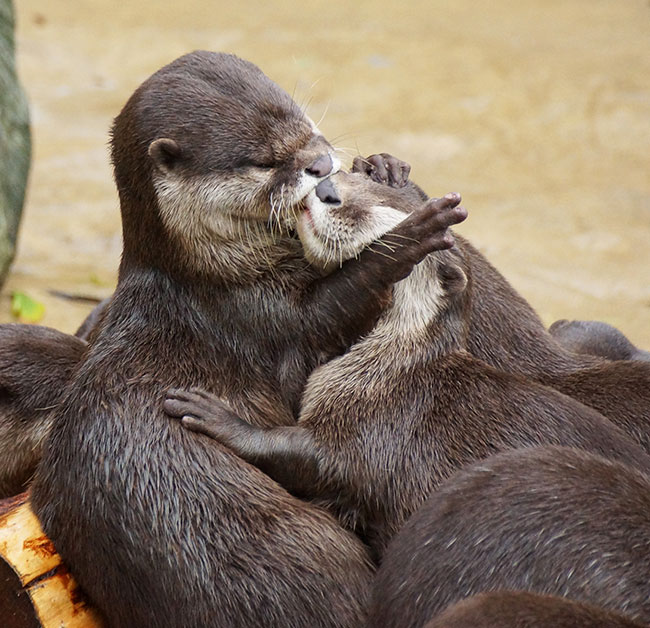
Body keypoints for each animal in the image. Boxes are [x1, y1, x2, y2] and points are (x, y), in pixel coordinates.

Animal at [29, 50, 466, 628]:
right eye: (262, 161)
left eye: (303, 118)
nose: (321, 165)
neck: (217, 273)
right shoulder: (256, 319)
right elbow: (330, 312)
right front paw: (405, 240)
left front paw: (387, 167)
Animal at [166, 168, 648, 560]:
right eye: (350, 176)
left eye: (385, 224)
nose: (325, 189)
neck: (390, 369)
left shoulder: (375, 424)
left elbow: (310, 456)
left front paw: (217, 416)